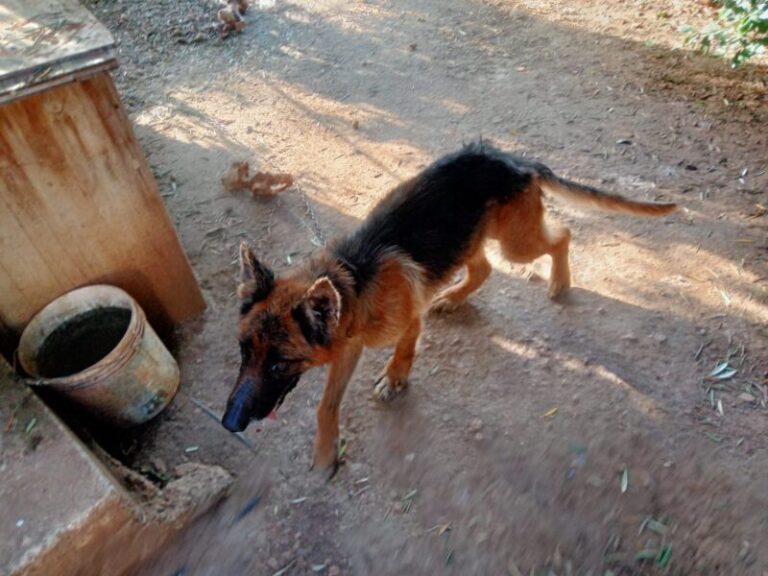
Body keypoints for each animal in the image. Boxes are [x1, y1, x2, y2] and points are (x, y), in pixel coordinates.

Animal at [219, 142, 676, 474]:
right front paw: (326, 453)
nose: (229, 425)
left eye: (279, 364)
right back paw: (454, 297)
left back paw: (559, 282)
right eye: (243, 351)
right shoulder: (347, 347)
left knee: (562, 234)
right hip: (471, 240)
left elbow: (404, 349)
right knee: (485, 268)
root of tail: (513, 160)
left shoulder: (402, 322)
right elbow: (325, 405)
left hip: (516, 242)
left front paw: (395, 379)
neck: (354, 279)